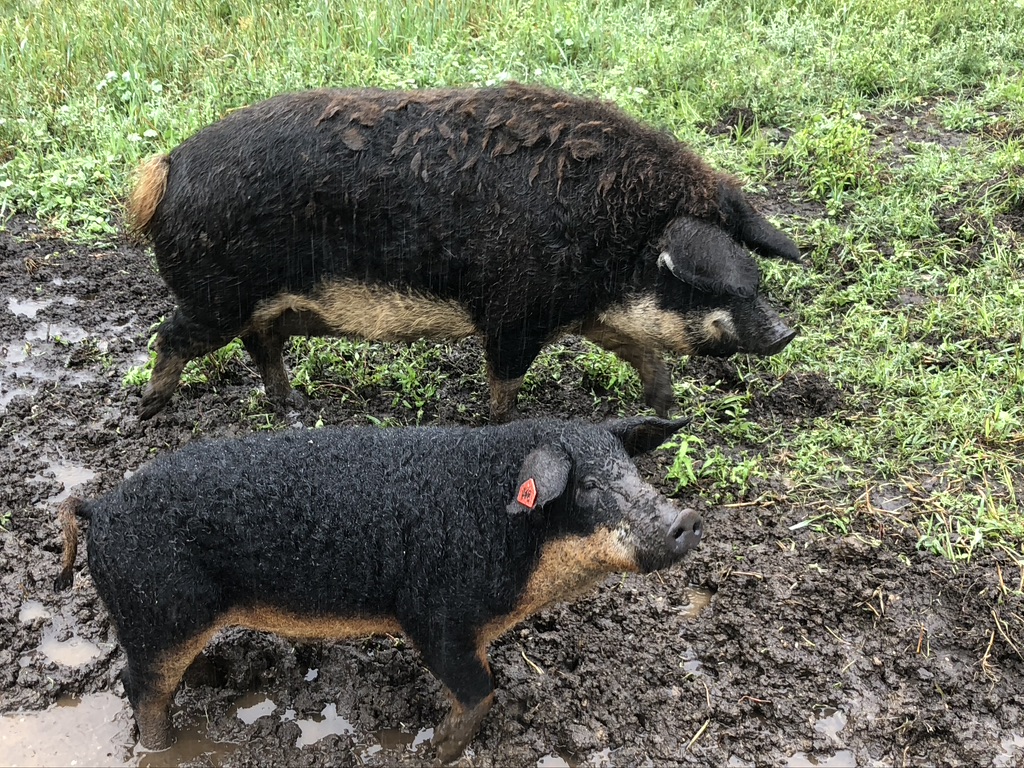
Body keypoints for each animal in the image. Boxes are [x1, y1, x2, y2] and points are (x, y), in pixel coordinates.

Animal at [54, 416, 701, 762]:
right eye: (588, 485)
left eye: (634, 472)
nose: (687, 519)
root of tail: (100, 508)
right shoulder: (433, 614)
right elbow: (480, 690)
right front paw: (438, 749)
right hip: (156, 611)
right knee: (139, 688)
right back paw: (165, 748)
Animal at [127, 83, 801, 421]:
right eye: (711, 281)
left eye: (753, 274)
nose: (785, 332)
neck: (616, 240)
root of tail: (165, 167)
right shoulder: (512, 312)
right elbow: (504, 380)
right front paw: (502, 422)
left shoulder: (590, 313)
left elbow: (647, 359)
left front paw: (667, 415)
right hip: (214, 294)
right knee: (171, 335)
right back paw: (150, 412)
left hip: (255, 304)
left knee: (261, 344)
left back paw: (292, 406)